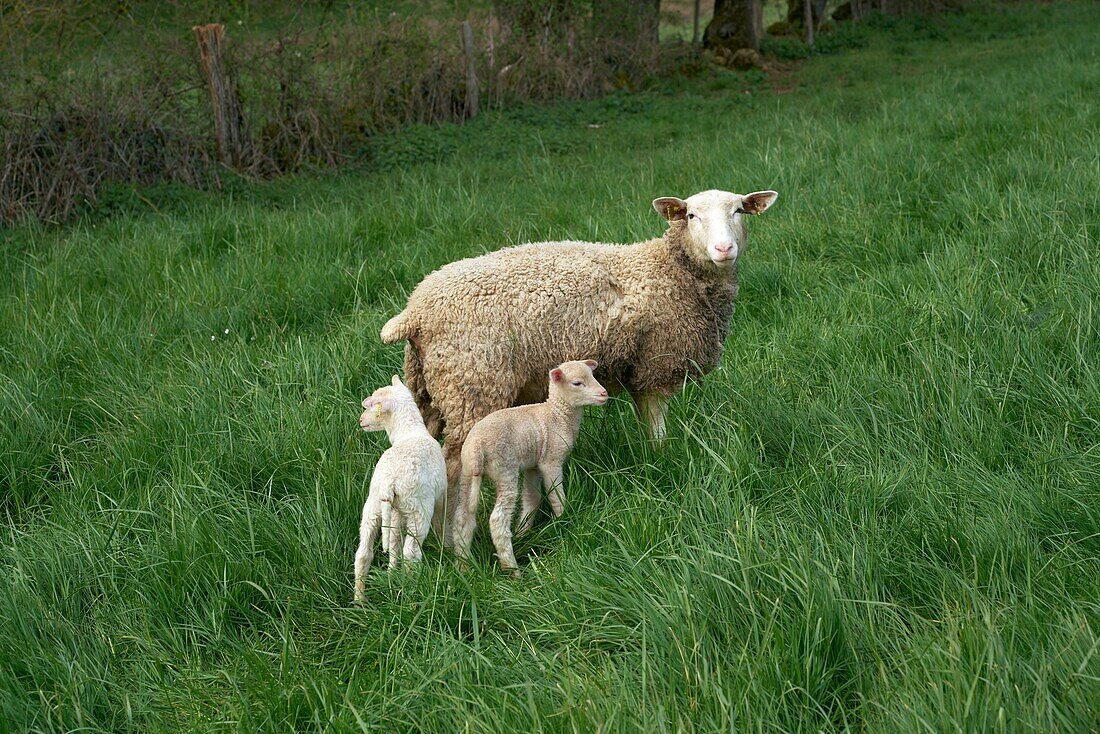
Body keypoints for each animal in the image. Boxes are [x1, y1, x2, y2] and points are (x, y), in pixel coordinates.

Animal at [352, 374, 446, 603]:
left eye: (373, 406)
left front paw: (391, 573)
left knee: (363, 553)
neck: (410, 432)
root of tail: (389, 480)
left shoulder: (395, 511)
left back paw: (359, 600)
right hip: (419, 508)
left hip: (374, 504)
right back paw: (414, 588)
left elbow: (393, 542)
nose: (361, 421)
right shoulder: (438, 498)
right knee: (411, 553)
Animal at [382, 187, 778, 526]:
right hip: (472, 387)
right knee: (454, 466)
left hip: (430, 392)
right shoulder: (655, 366)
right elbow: (657, 428)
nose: (724, 248)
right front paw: (663, 459)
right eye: (692, 215)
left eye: (739, 211)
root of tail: (415, 311)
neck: (669, 269)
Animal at [453, 358, 611, 576]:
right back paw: (512, 570)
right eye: (577, 383)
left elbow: (532, 498)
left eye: (592, 375)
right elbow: (556, 496)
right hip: (505, 470)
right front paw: (564, 520)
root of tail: (477, 447)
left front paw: (523, 532)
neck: (557, 414)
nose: (604, 393)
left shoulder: (533, 465)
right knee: (497, 520)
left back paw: (464, 566)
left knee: (463, 517)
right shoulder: (550, 460)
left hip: (467, 472)